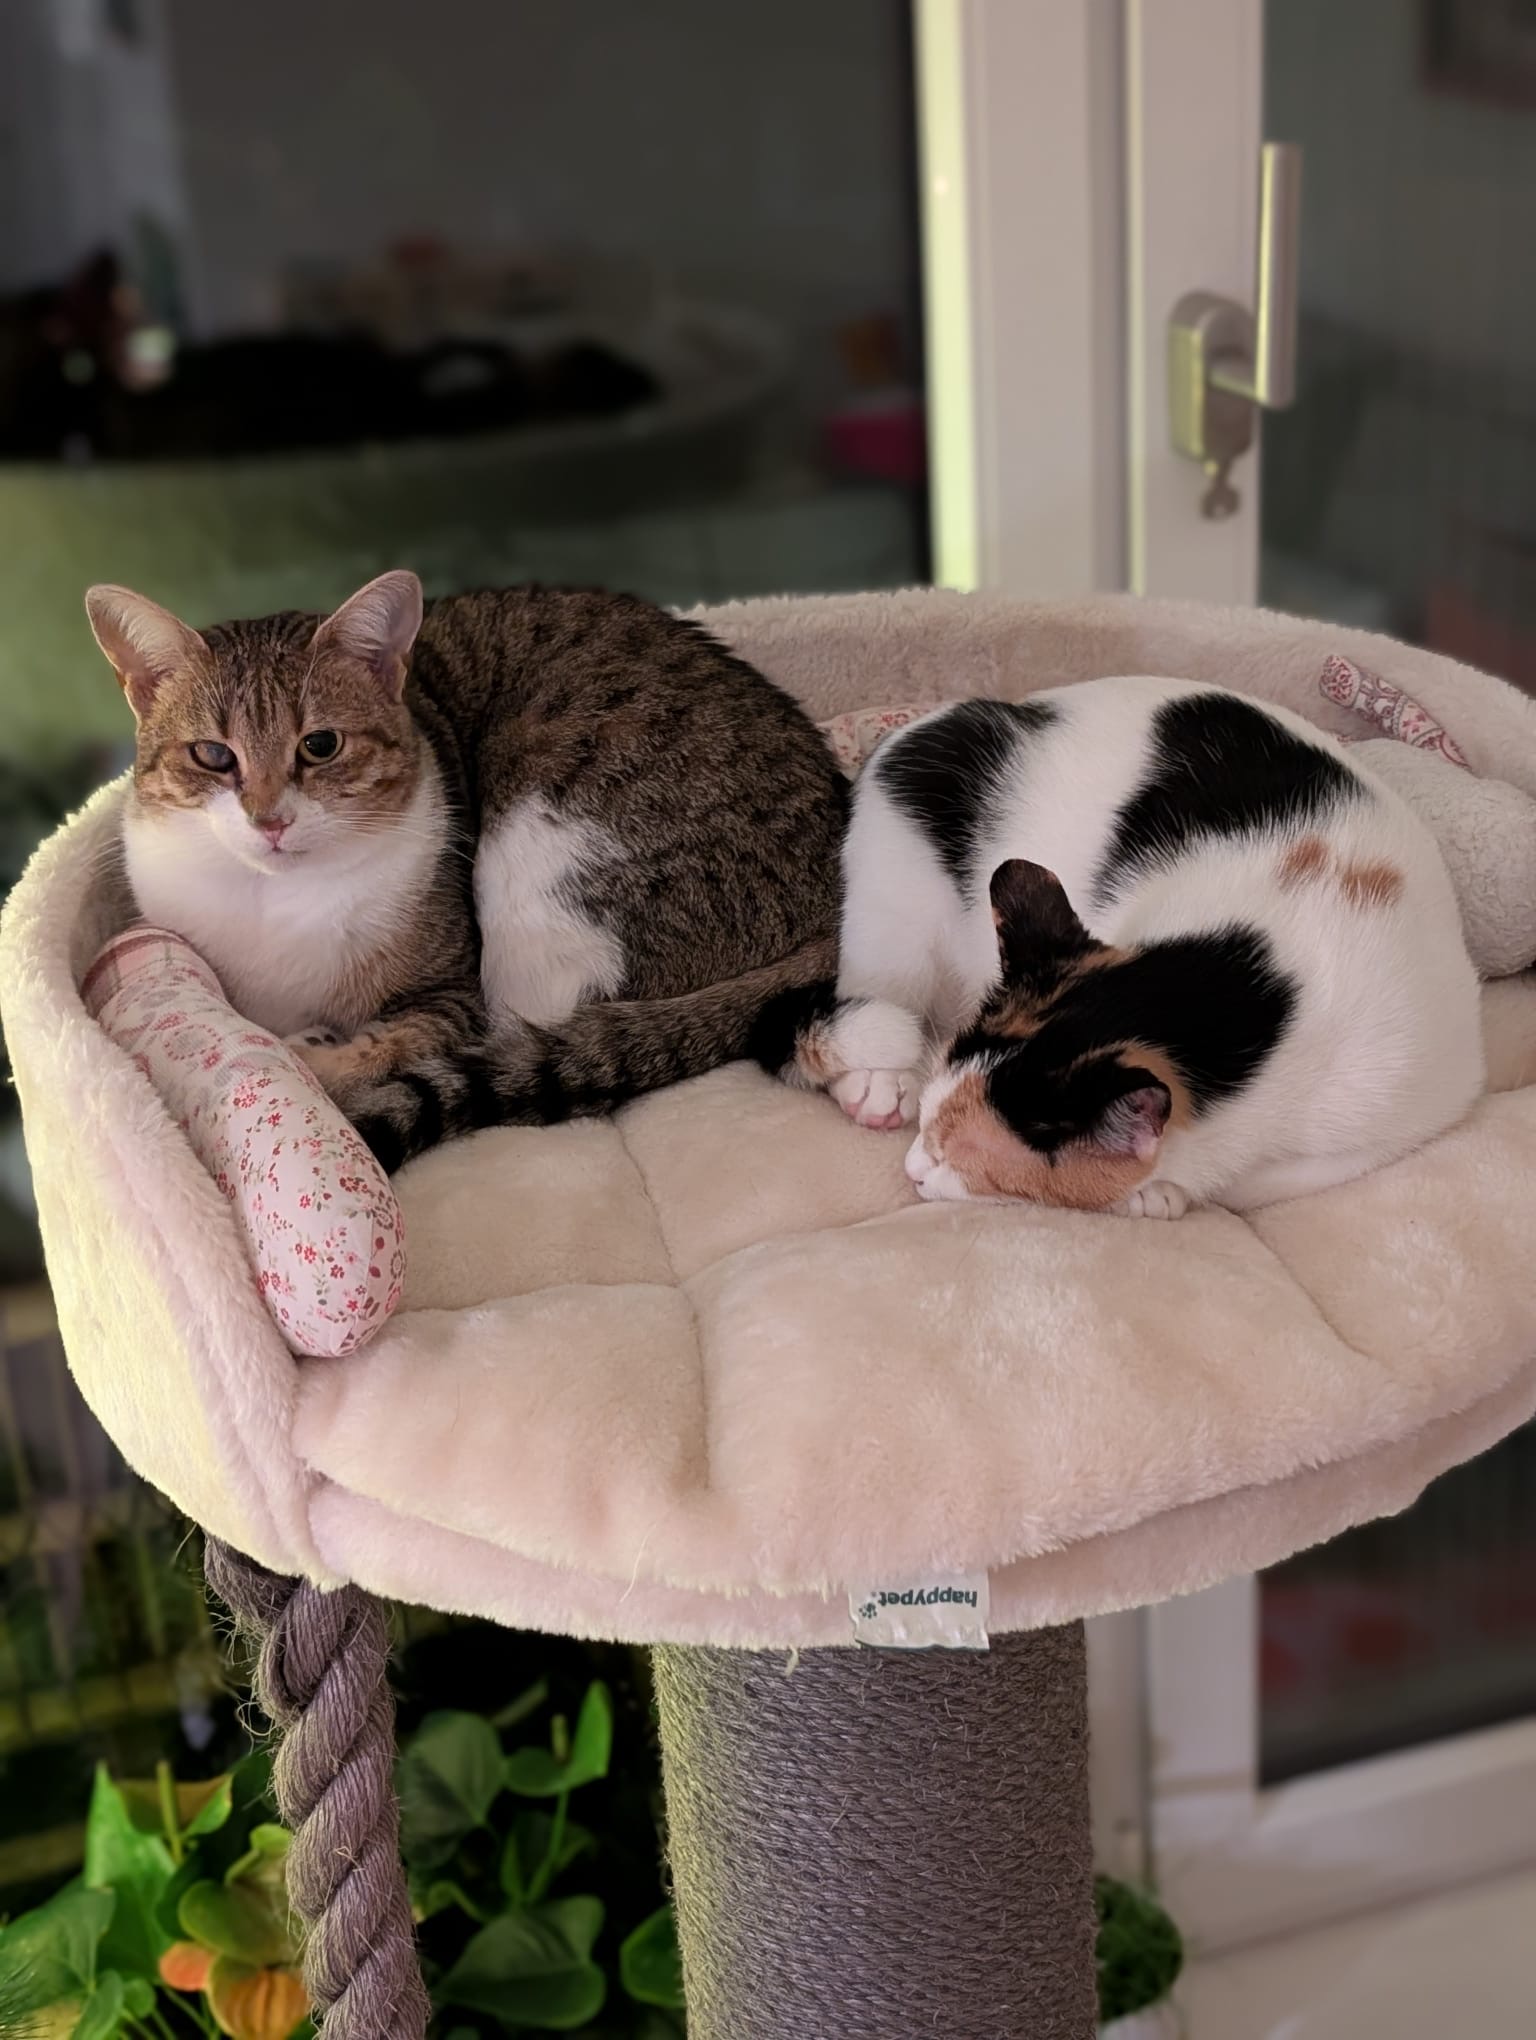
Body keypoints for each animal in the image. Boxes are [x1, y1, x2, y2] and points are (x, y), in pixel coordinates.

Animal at [85, 571, 845, 1168]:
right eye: (213, 756)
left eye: (320, 745)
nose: (270, 819)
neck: (277, 900)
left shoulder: (454, 993)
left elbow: (381, 1044)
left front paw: (315, 1055)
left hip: (538, 873)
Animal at [789, 677, 1484, 1218]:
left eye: (957, 1155)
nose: (912, 1168)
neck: (1261, 986)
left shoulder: (1410, 1110)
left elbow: (1253, 1182)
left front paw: (1164, 1190)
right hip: (895, 886)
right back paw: (877, 1082)